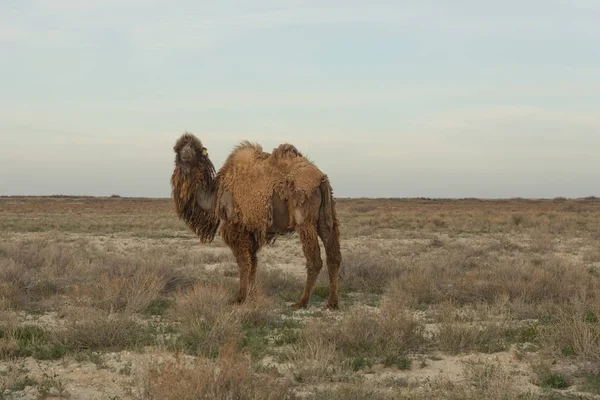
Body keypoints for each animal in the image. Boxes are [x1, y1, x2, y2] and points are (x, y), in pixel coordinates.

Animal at [169, 133, 342, 308]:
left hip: (304, 218)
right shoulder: (251, 228)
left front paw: (240, 298)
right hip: (326, 217)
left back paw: (301, 302)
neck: (216, 194)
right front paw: (252, 295)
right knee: (334, 255)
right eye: (178, 148)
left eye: (196, 149)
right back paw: (332, 302)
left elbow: (243, 262)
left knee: (314, 259)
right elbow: (253, 261)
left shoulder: (235, 225)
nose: (186, 154)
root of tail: (321, 179)